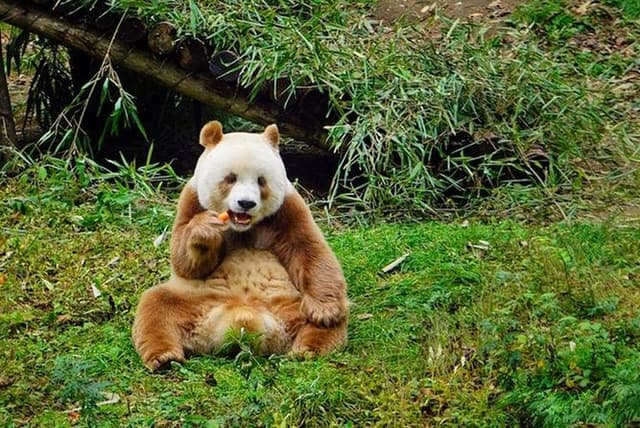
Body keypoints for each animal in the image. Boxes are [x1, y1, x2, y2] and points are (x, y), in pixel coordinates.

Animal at [132, 121, 349, 371]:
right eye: (231, 178)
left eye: (261, 181)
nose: (246, 203)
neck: (243, 227)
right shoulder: (192, 200)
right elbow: (184, 262)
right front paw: (205, 231)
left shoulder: (287, 208)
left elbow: (309, 249)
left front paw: (324, 311)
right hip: (196, 300)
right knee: (156, 306)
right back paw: (164, 358)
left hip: (291, 303)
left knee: (328, 320)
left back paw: (308, 349)